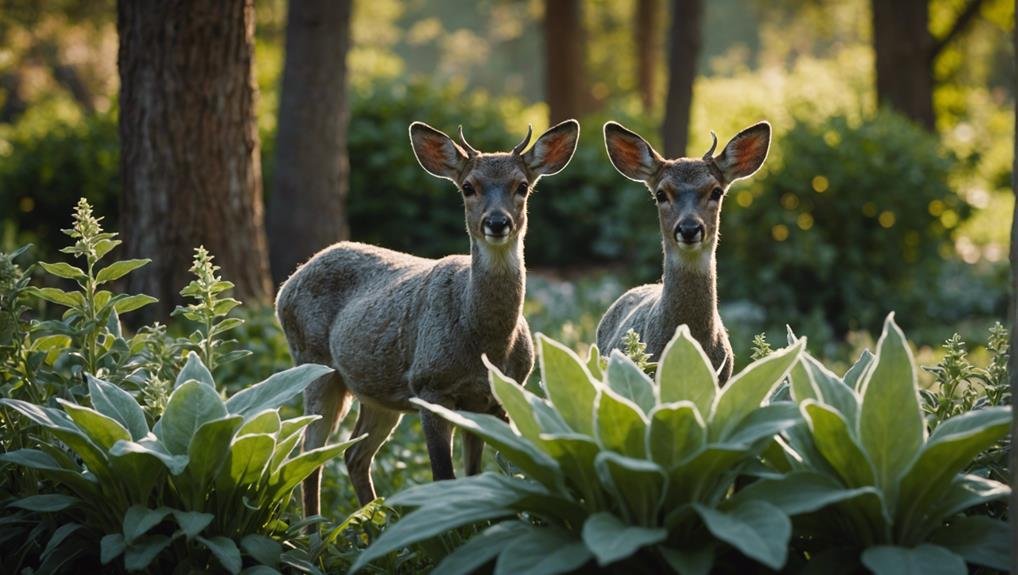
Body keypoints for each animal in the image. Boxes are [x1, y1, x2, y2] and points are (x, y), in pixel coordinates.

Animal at [274, 117, 582, 510]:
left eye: (522, 186)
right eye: (468, 187)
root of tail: (287, 284)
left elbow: (475, 477)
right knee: (309, 454)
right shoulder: (430, 386)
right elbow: (443, 478)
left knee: (353, 455)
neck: (485, 344)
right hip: (313, 363)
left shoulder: (496, 398)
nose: (497, 222)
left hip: (379, 391)